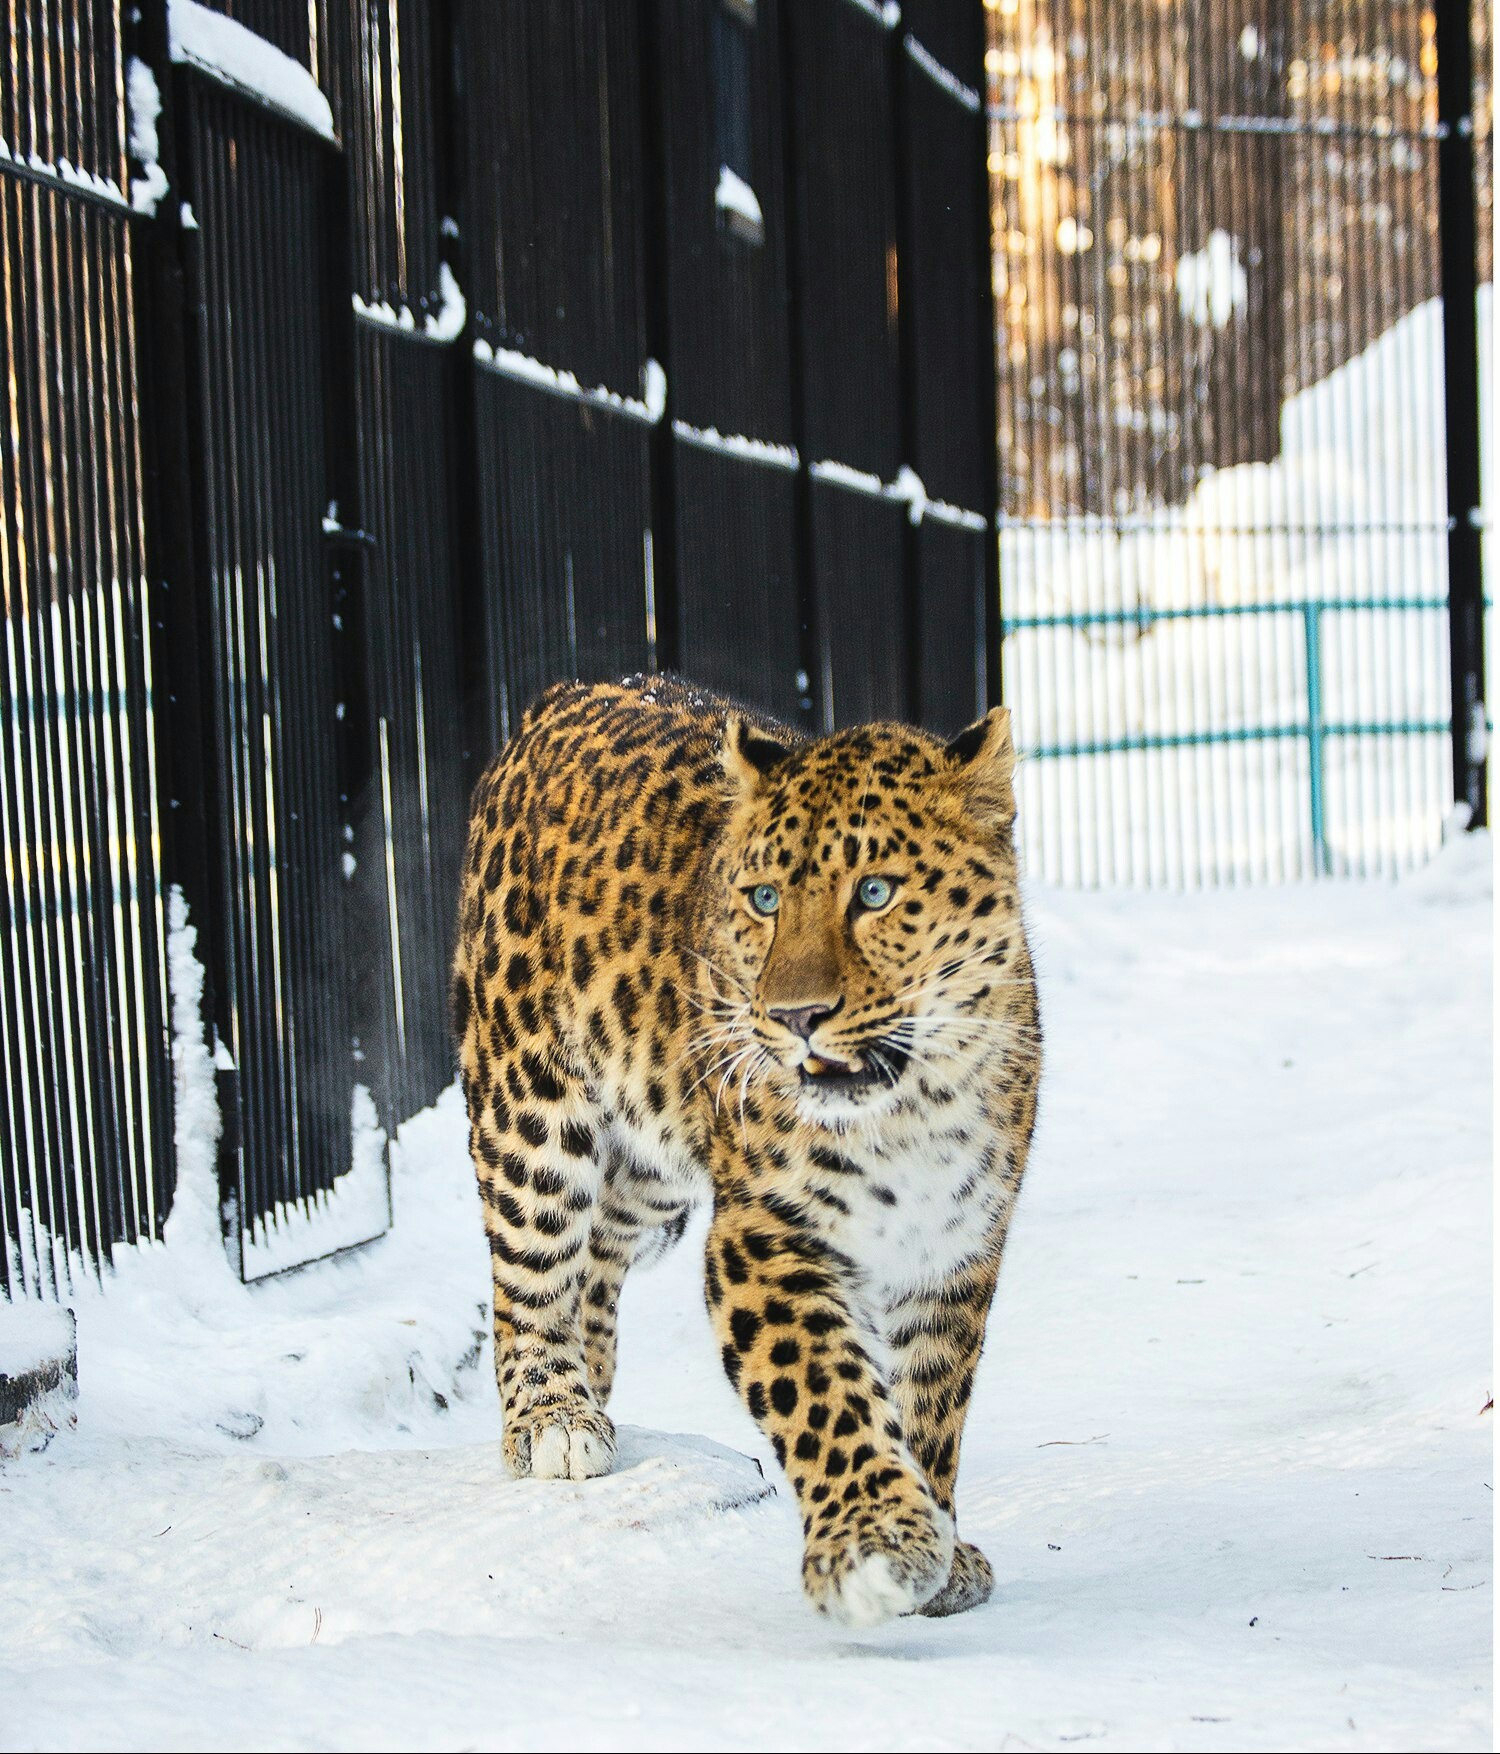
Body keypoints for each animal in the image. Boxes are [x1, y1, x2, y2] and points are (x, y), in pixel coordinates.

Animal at [449, 673, 1045, 1627]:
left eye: (874, 892)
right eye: (764, 900)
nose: (796, 1016)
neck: (913, 1108)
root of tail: (562, 693)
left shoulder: (954, 1251)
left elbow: (932, 1406)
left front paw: (939, 1544)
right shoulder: (765, 1235)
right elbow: (829, 1393)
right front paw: (873, 1546)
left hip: (653, 1158)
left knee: (599, 1255)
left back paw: (594, 1385)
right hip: (529, 1104)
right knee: (527, 1270)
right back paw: (553, 1419)